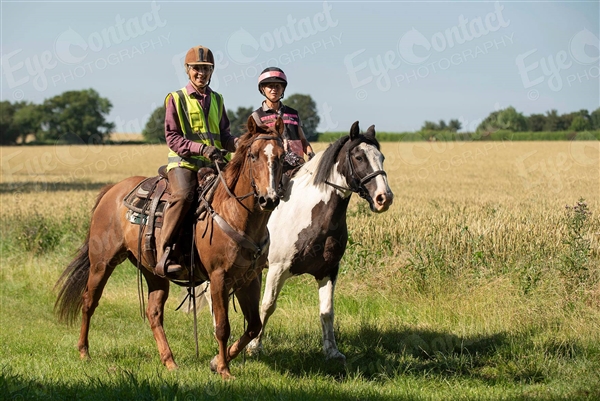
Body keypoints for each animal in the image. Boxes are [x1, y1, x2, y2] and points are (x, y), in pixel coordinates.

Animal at [55, 115, 284, 378]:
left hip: (153, 271)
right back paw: (84, 351)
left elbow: (254, 325)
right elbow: (222, 327)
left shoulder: (250, 278)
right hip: (102, 263)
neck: (235, 213)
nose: (269, 199)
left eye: (281, 156)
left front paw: (216, 362)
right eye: (253, 155)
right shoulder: (219, 277)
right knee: (89, 302)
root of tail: (112, 190)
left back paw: (169, 361)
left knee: (154, 313)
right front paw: (224, 370)